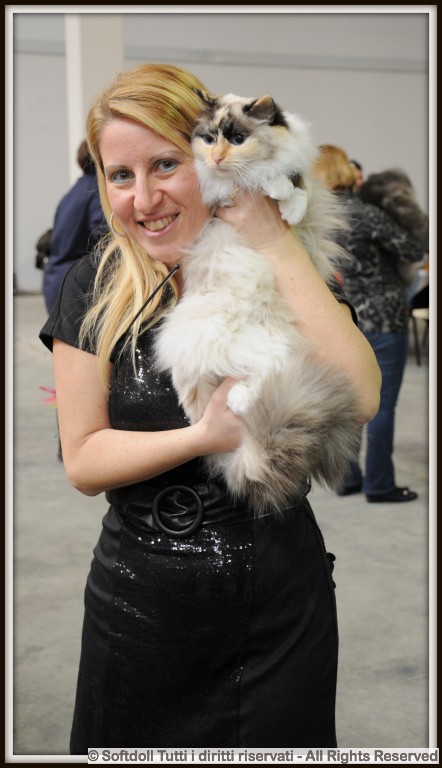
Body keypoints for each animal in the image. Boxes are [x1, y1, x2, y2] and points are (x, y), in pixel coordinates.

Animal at [154, 91, 361, 515]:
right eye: (208, 139)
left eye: (237, 139)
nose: (217, 158)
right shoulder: (217, 195)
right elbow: (263, 183)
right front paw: (272, 190)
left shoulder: (297, 176)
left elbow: (297, 187)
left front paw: (286, 202)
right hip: (210, 333)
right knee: (251, 373)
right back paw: (237, 400)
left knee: (263, 371)